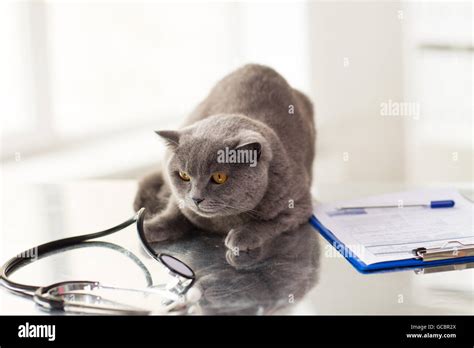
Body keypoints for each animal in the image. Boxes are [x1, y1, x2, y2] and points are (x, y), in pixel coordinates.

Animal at [133, 64, 316, 251]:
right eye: (184, 175)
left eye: (219, 177)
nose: (196, 198)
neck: (221, 221)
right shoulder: (181, 201)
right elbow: (175, 210)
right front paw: (149, 228)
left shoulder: (298, 206)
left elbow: (269, 222)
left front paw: (241, 235)